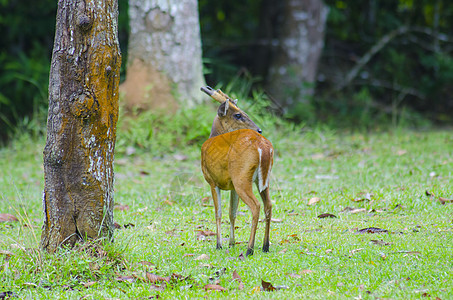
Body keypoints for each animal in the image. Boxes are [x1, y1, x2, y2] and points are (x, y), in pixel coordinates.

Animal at [200, 85, 272, 256]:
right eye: (238, 114)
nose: (259, 129)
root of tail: (264, 147)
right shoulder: (231, 185)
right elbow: (232, 213)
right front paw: (231, 243)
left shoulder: (212, 181)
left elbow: (218, 212)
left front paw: (219, 244)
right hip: (262, 181)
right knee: (268, 205)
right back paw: (265, 246)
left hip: (241, 177)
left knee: (256, 206)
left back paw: (249, 249)